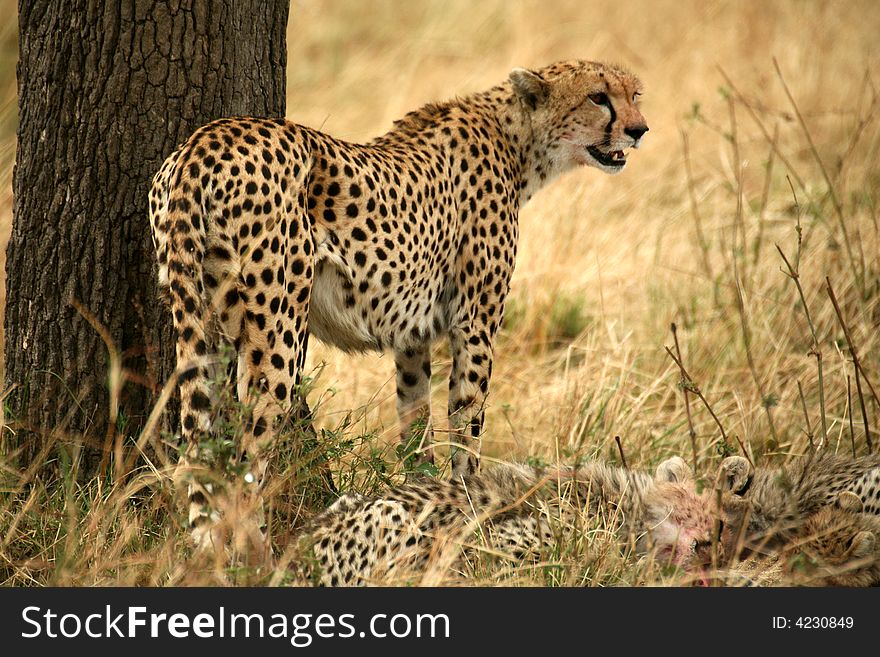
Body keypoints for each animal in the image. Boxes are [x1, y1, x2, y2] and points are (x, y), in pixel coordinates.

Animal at [150, 60, 648, 548]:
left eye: (634, 94)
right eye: (598, 97)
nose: (640, 129)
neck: (517, 140)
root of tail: (204, 140)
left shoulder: (412, 337)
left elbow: (416, 426)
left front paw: (419, 502)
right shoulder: (475, 326)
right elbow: (467, 429)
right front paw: (471, 517)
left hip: (202, 316)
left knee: (200, 446)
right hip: (279, 326)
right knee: (247, 454)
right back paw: (256, 554)